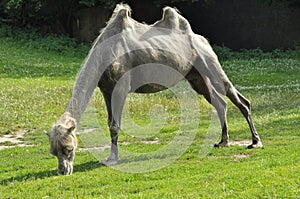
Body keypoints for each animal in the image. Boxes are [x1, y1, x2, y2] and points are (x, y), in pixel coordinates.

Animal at [45, 3, 262, 175]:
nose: (63, 171)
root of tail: (202, 39)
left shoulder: (121, 87)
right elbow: (109, 123)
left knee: (236, 97)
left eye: (69, 148)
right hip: (195, 75)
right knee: (219, 101)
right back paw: (223, 141)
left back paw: (255, 141)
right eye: (53, 151)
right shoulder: (106, 89)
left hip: (208, 62)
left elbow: (115, 125)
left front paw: (112, 159)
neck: (104, 55)